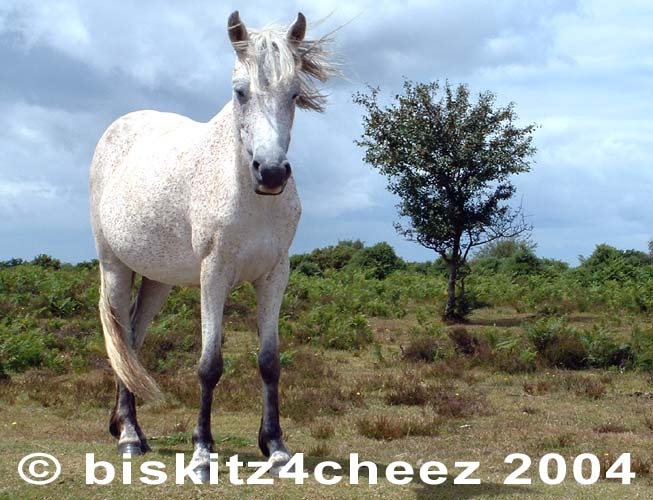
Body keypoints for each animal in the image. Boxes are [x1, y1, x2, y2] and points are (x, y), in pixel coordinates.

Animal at [89, 11, 336, 478]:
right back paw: (128, 437)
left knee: (132, 341)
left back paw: (128, 429)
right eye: (239, 92)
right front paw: (202, 451)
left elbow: (269, 362)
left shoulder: (275, 275)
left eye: (295, 93)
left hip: (157, 281)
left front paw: (276, 447)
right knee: (121, 340)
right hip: (114, 268)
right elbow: (209, 365)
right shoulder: (214, 274)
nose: (271, 173)